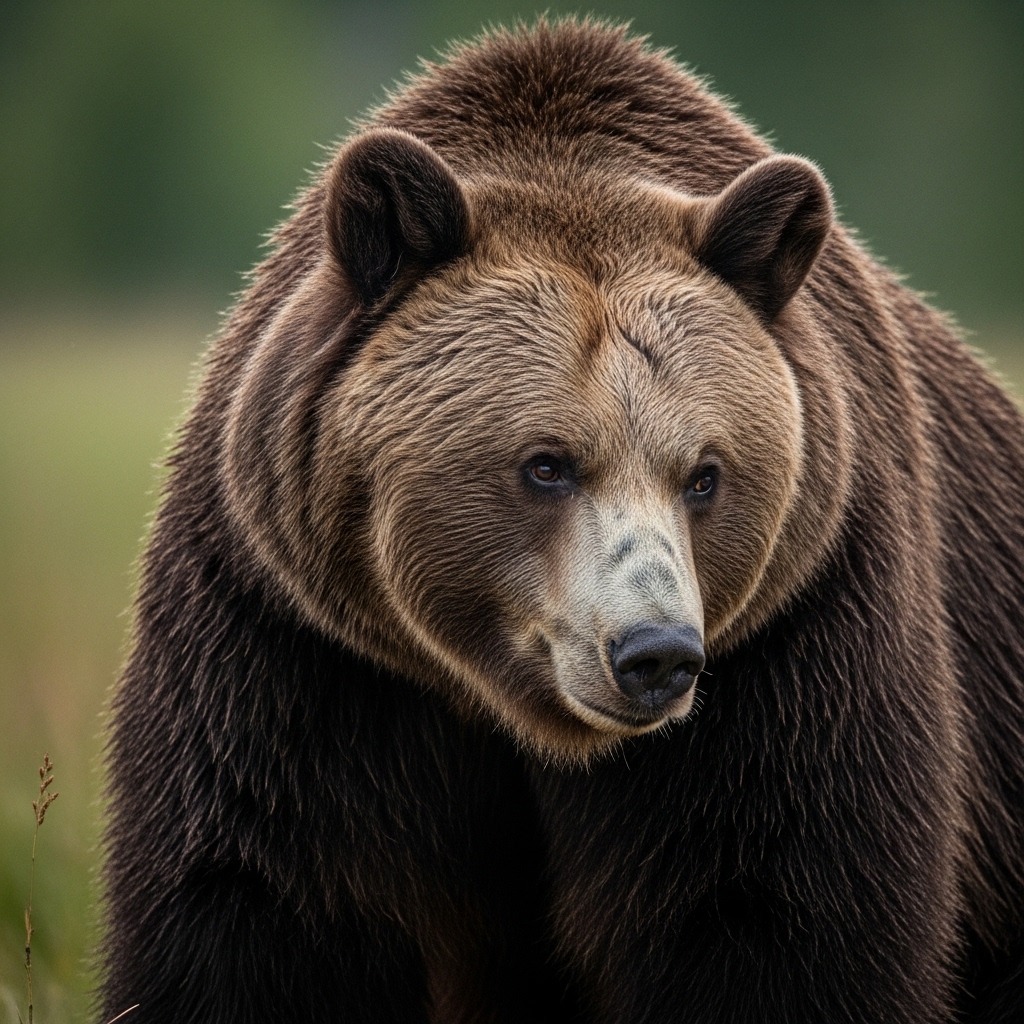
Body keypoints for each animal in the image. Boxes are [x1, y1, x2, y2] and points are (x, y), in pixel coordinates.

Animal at [100, 18, 1024, 1024]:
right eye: (546, 464)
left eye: (704, 475)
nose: (656, 654)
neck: (530, 721)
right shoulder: (298, 651)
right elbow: (259, 900)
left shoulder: (798, 641)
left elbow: (773, 913)